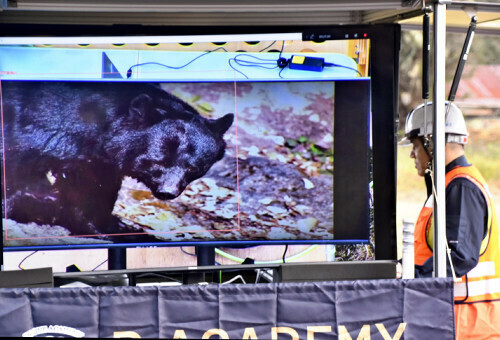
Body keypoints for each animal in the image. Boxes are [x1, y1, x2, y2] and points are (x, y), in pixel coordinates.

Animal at [1, 81, 233, 238]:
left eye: (193, 168)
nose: (167, 192)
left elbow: (99, 187)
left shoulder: (101, 161)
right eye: (157, 161)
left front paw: (112, 226)